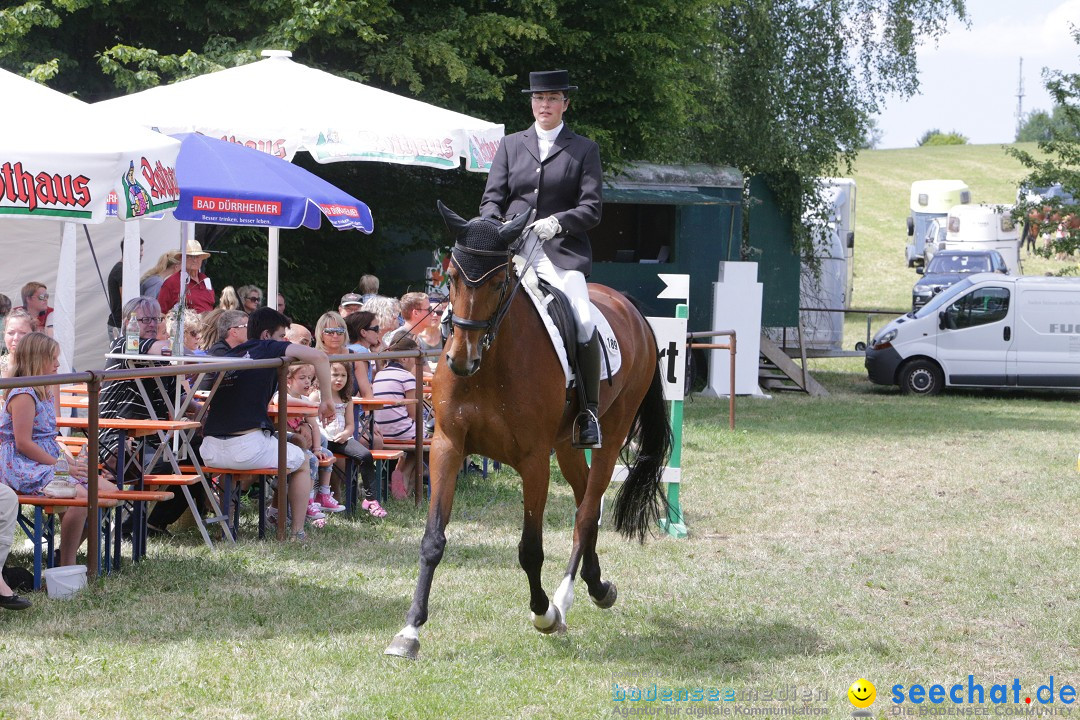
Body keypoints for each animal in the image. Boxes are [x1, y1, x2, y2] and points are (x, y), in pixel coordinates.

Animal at [384, 202, 669, 660]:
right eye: (452, 277)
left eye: (499, 281)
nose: (461, 360)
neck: (491, 363)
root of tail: (628, 306)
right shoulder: (446, 446)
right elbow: (432, 541)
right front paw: (409, 631)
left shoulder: (533, 461)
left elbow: (530, 548)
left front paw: (543, 613)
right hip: (567, 444)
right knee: (585, 499)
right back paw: (597, 585)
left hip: (611, 433)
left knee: (587, 512)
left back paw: (564, 600)